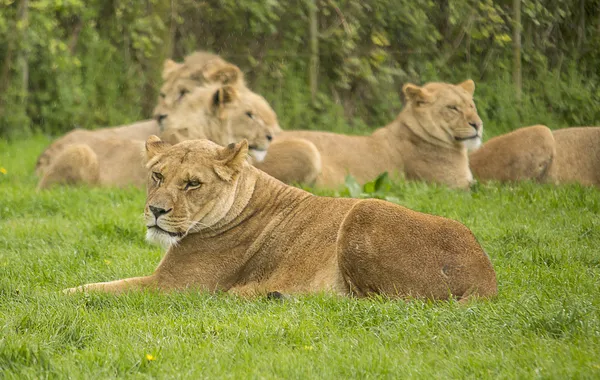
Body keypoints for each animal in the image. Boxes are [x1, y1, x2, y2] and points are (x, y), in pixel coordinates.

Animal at [64, 135, 496, 302]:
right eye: (157, 176)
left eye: (192, 184)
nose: (156, 210)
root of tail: (486, 275)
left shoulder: (173, 288)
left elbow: (100, 289)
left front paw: (55, 295)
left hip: (365, 210)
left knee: (372, 301)